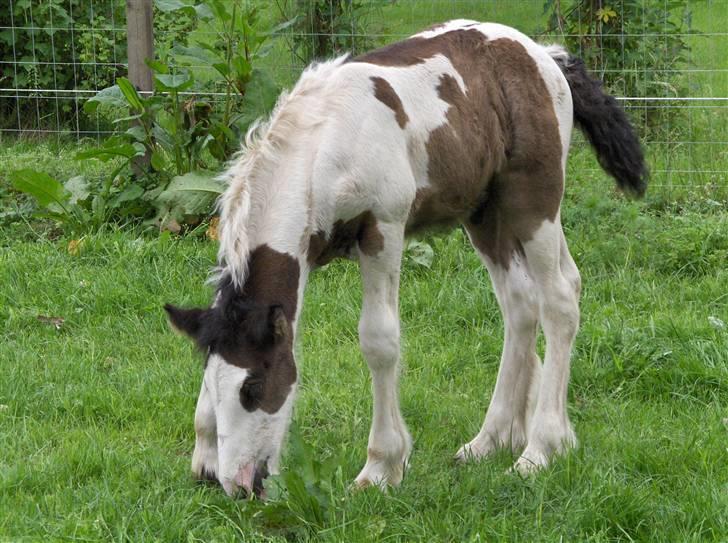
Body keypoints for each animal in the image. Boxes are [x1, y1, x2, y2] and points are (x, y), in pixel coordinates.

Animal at [166, 20, 648, 498]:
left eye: (254, 387)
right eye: (212, 383)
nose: (240, 484)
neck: (327, 144)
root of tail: (545, 56)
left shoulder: (384, 228)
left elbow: (379, 341)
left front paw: (382, 465)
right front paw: (204, 453)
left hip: (534, 201)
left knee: (560, 298)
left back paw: (541, 449)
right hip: (485, 213)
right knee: (522, 304)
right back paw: (492, 440)